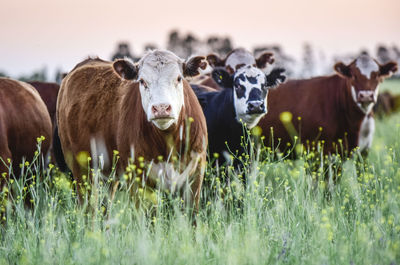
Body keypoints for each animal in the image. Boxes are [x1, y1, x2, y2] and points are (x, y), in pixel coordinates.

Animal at [57, 50, 209, 209]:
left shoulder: (195, 175)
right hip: (81, 171)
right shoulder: (137, 178)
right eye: (142, 81)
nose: (161, 108)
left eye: (179, 78)